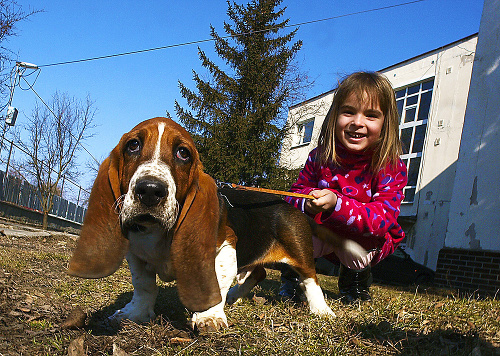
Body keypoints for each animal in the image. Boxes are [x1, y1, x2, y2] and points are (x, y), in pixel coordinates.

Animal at [67, 117, 364, 330]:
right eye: (133, 145)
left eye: (183, 153)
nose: (150, 190)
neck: (159, 231)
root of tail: (290, 203)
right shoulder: (136, 255)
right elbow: (144, 286)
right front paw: (134, 313)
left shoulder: (224, 246)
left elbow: (216, 281)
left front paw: (208, 316)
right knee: (258, 273)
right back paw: (234, 296)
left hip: (299, 251)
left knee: (310, 279)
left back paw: (321, 310)